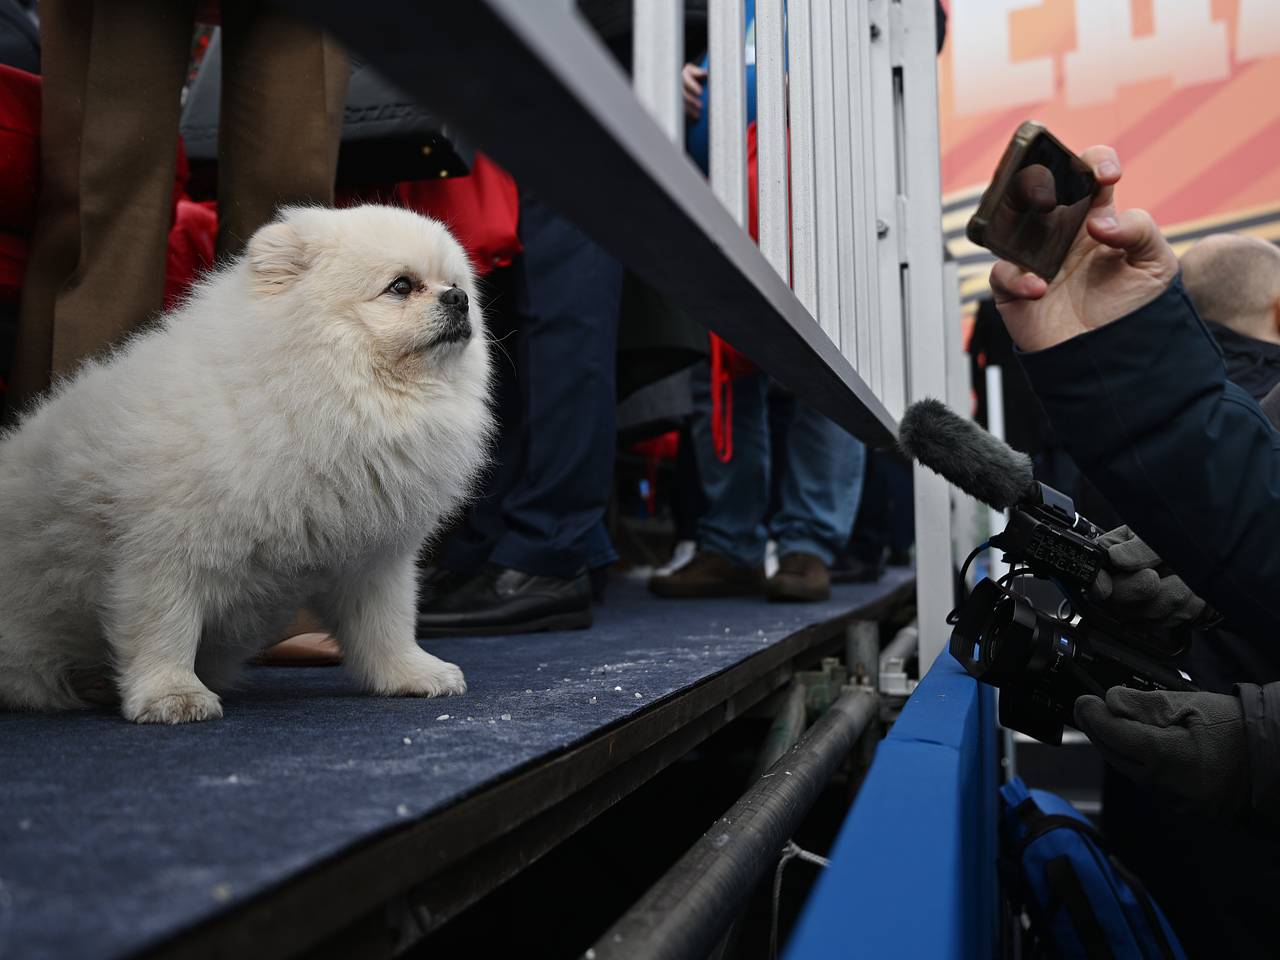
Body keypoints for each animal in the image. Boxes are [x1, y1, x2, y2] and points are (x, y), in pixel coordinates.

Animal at [0, 207, 488, 727]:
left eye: (456, 283)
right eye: (401, 285)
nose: (459, 300)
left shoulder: (373, 556)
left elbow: (387, 625)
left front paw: (411, 674)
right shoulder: (163, 551)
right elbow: (164, 629)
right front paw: (173, 695)